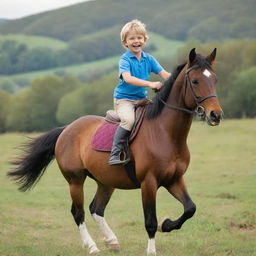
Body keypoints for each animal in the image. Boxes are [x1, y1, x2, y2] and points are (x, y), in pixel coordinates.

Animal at [8, 48, 223, 256]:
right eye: (195, 81)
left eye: (214, 79)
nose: (216, 115)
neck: (165, 133)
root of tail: (67, 129)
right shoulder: (149, 183)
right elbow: (150, 222)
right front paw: (152, 249)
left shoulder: (174, 179)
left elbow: (190, 208)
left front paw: (167, 225)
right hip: (75, 181)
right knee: (78, 213)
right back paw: (92, 247)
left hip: (105, 181)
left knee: (96, 209)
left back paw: (112, 241)